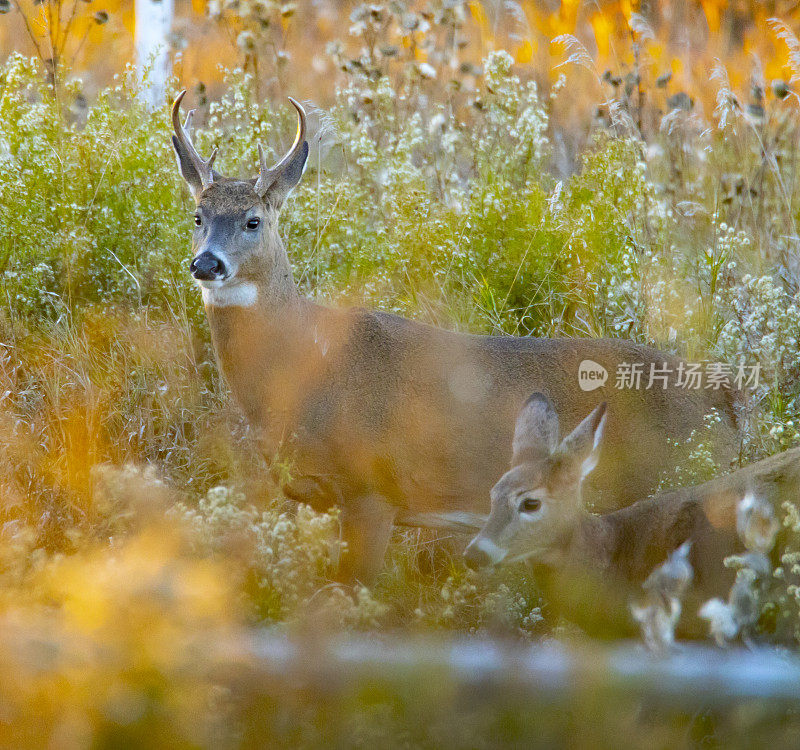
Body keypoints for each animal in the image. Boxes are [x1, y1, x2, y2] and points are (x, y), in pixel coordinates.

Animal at [172, 91, 740, 584]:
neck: (306, 363)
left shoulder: (372, 491)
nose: (206, 263)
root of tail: (727, 399)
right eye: (198, 216)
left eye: (252, 221)